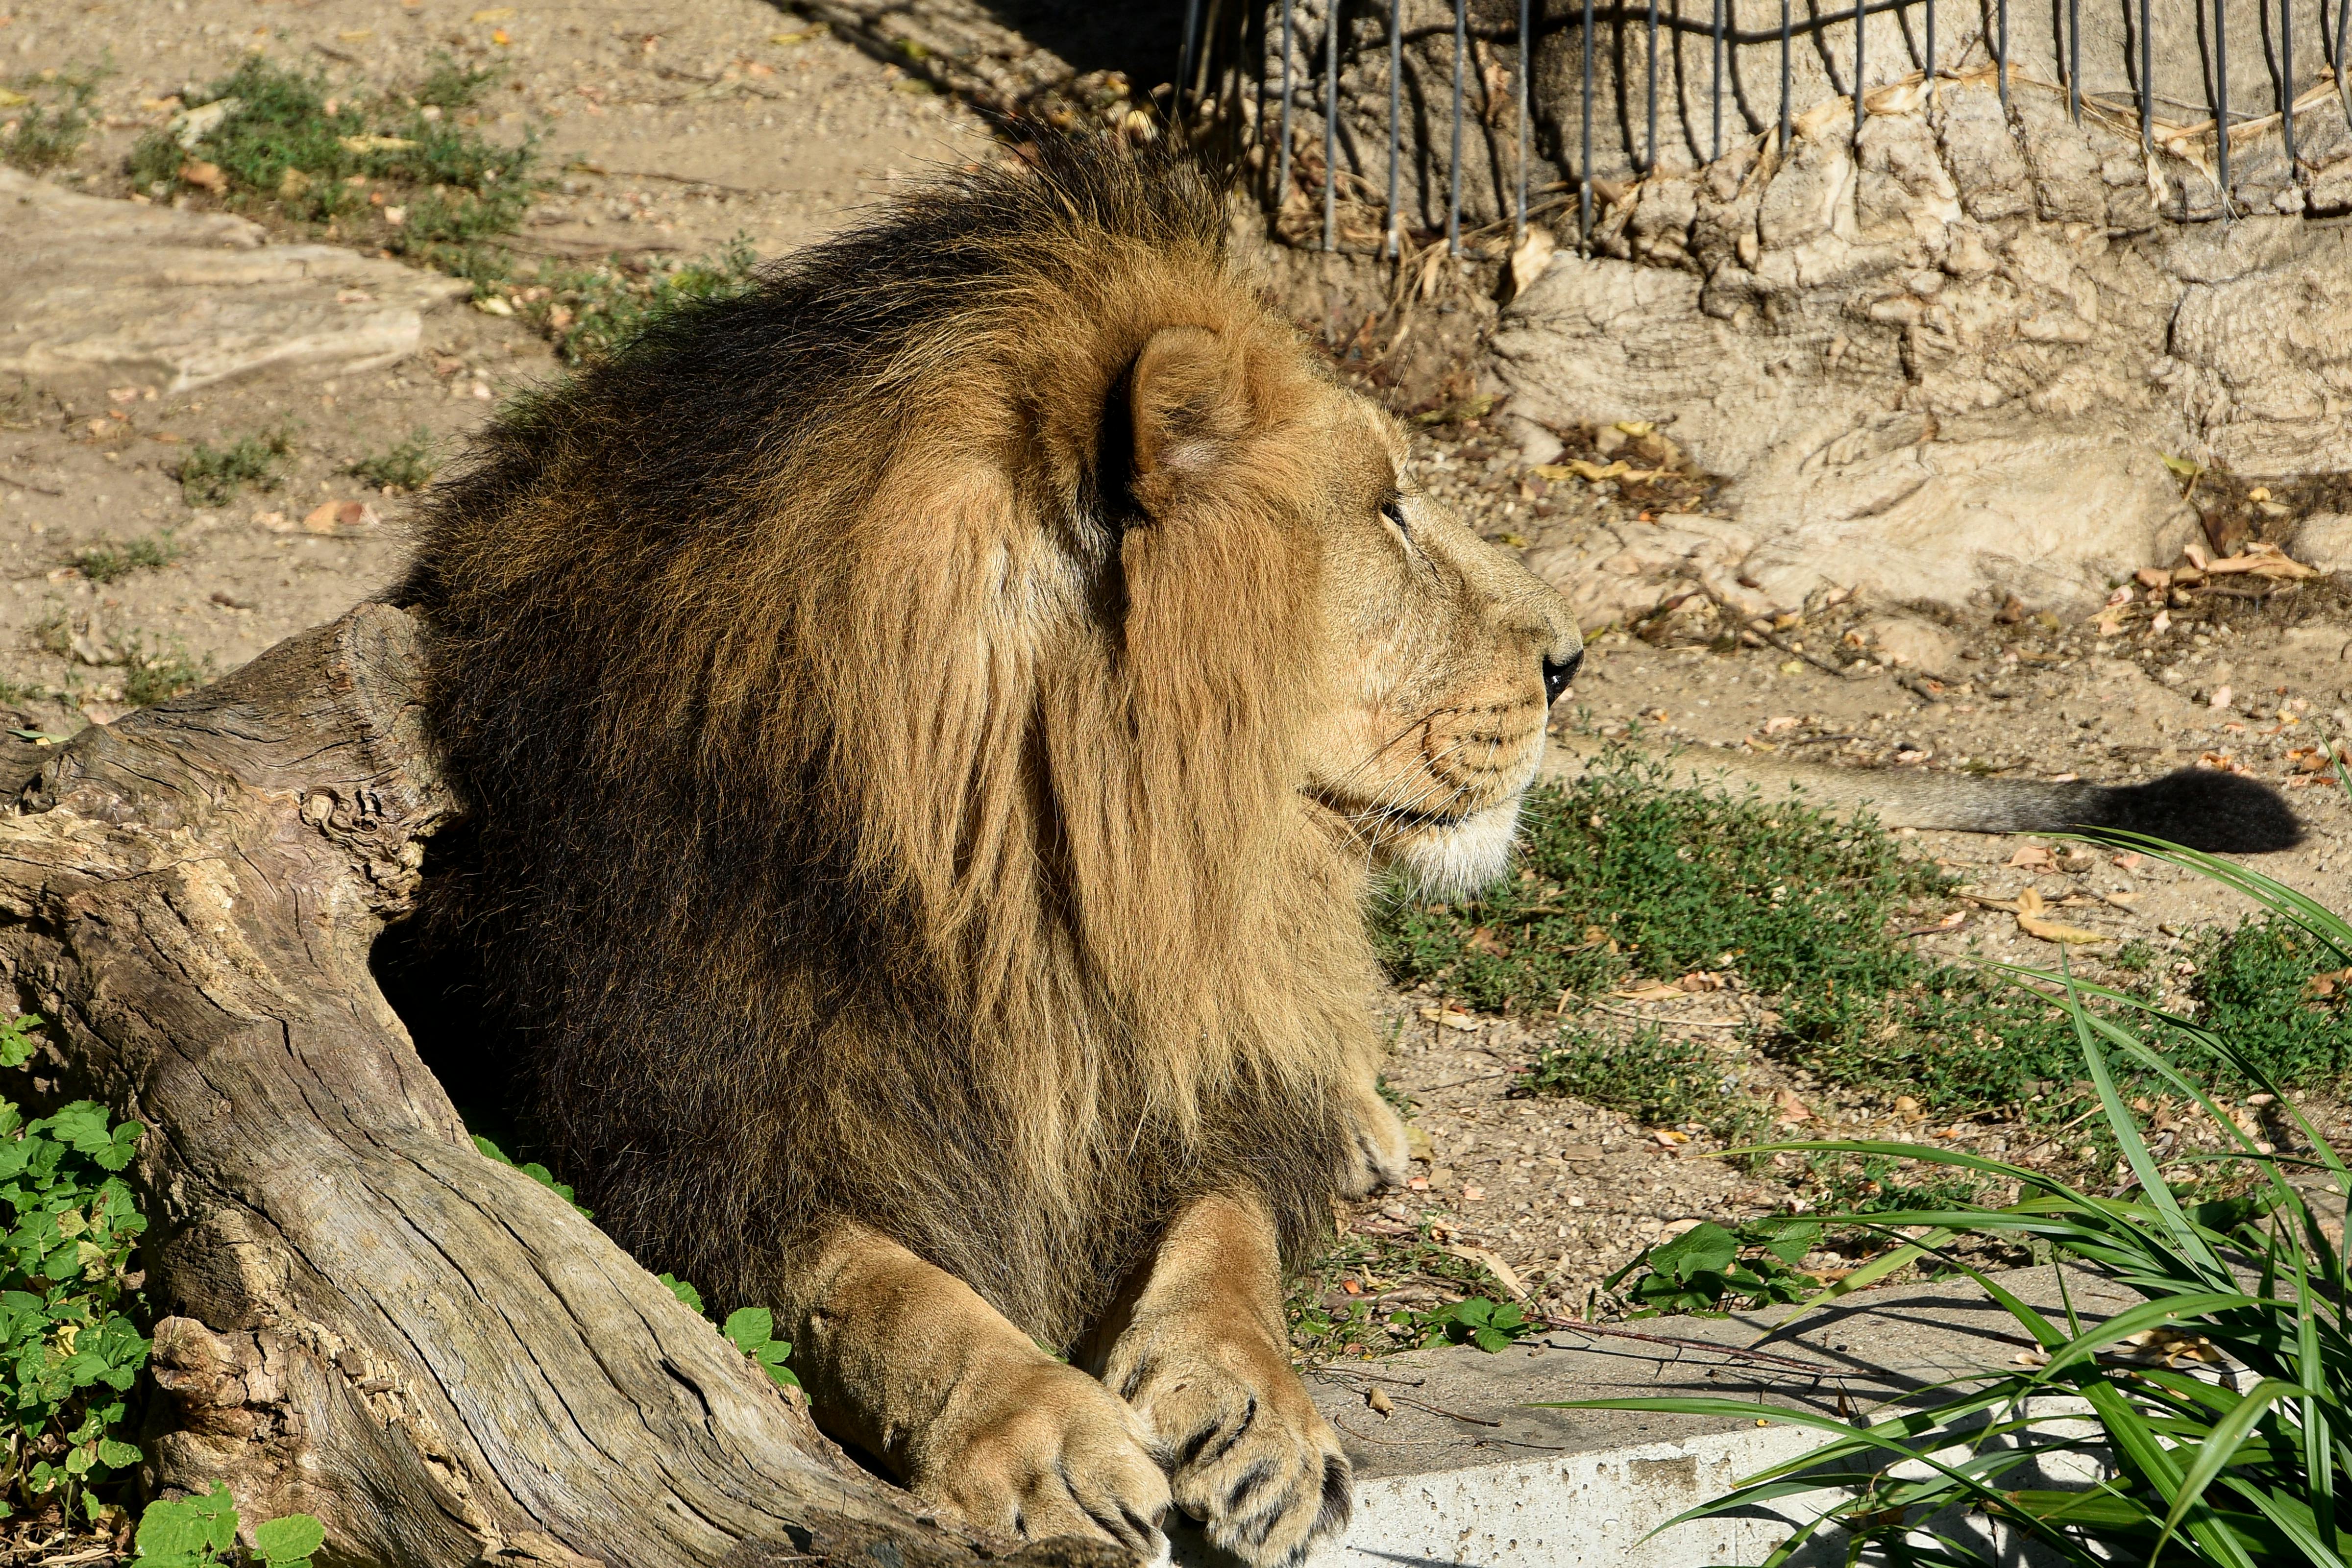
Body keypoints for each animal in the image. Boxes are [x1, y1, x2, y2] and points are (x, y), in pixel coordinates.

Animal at [400, 138, 1580, 1568]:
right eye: (1389, 510)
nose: (1571, 660)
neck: (1030, 886)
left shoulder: (1188, 1079)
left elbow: (1227, 1238)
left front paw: (1259, 1418)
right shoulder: (661, 1132)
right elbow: (879, 1287)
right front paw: (1044, 1435)